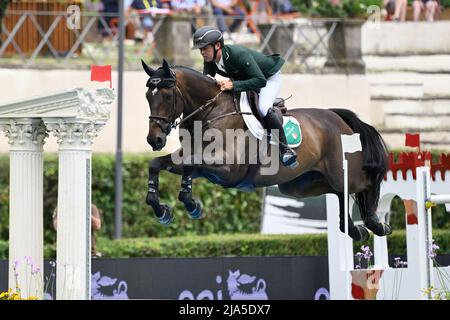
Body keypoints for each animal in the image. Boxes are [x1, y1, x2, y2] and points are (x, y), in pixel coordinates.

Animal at [142, 58, 392, 241]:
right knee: (338, 191)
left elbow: (189, 165)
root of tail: (336, 116)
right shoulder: (198, 163)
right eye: (147, 96)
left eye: (167, 96)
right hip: (298, 185)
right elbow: (158, 164)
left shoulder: (228, 169)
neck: (211, 112)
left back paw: (376, 224)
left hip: (339, 172)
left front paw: (192, 205)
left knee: (364, 182)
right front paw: (161, 210)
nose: (154, 140)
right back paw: (353, 229)